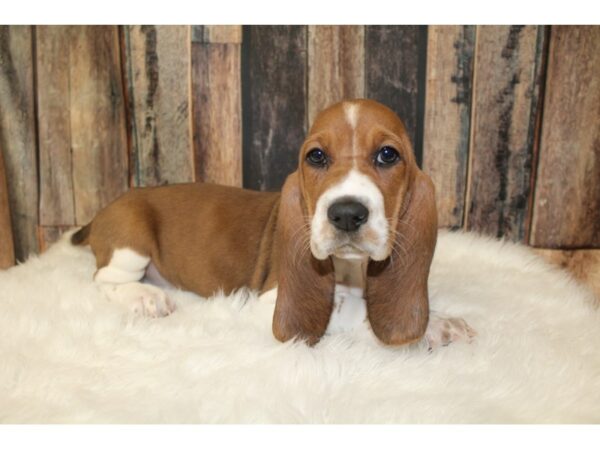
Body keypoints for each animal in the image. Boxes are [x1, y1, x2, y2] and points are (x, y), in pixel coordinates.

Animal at [71, 99, 474, 348]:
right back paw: (146, 296)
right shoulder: (268, 302)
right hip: (131, 240)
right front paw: (429, 326)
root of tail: (104, 210)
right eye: (316, 156)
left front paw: (438, 322)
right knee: (103, 279)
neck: (352, 272)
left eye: (388, 155)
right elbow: (346, 313)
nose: (345, 213)